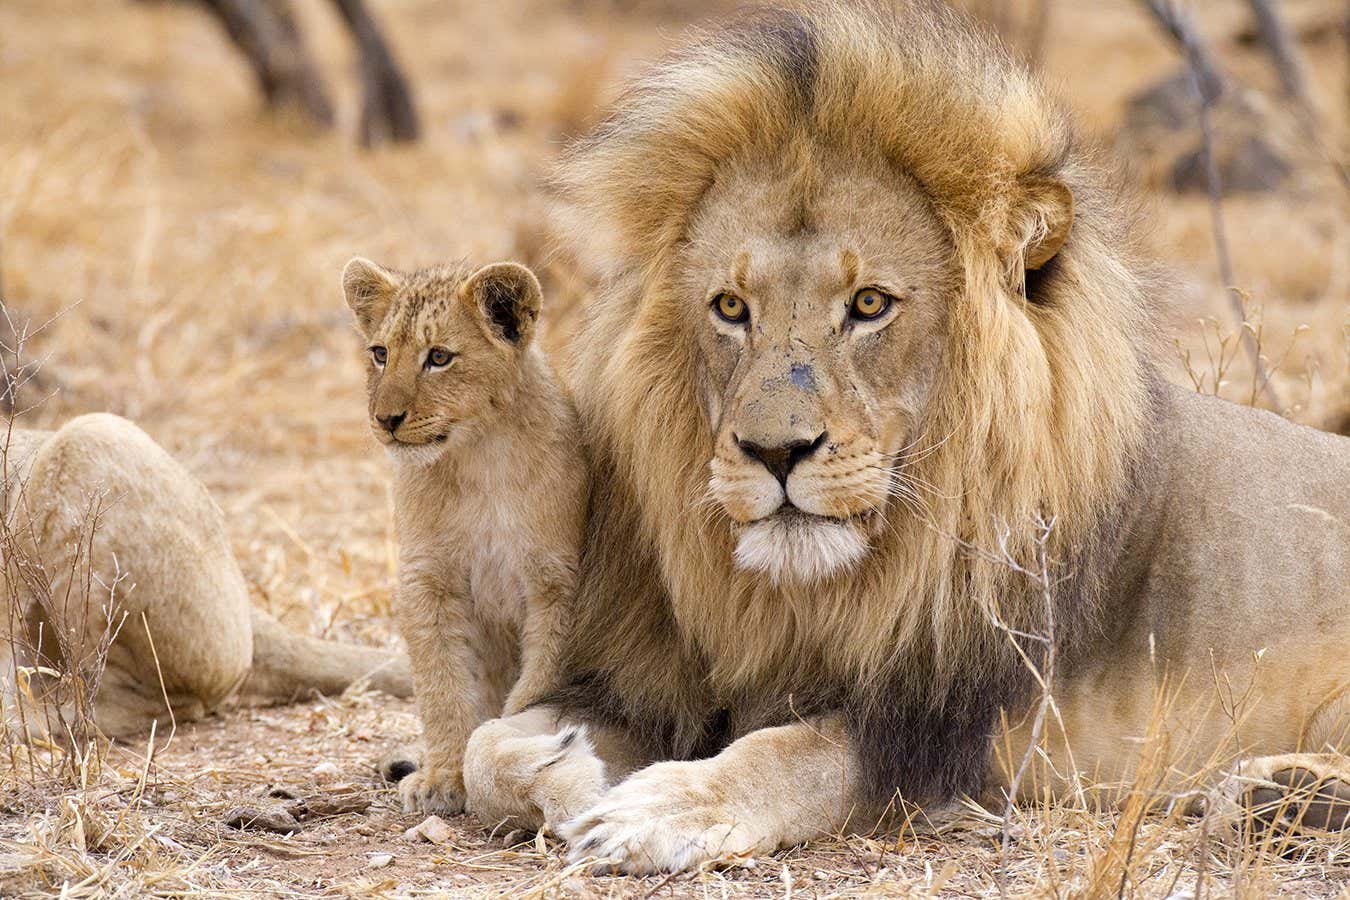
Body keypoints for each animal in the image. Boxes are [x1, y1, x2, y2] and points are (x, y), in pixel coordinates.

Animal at [341, 258, 587, 815]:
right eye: (380, 353)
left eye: (438, 357)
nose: (385, 419)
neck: (480, 459)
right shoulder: (428, 580)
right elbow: (442, 687)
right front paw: (442, 777)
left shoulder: (558, 585)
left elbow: (534, 685)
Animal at [453, 1, 1350, 873]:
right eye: (731, 308)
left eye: (870, 305)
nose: (775, 453)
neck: (807, 596)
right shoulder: (661, 678)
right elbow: (481, 746)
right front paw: (570, 772)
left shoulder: (948, 724)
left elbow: (788, 754)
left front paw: (660, 808)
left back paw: (1281, 793)